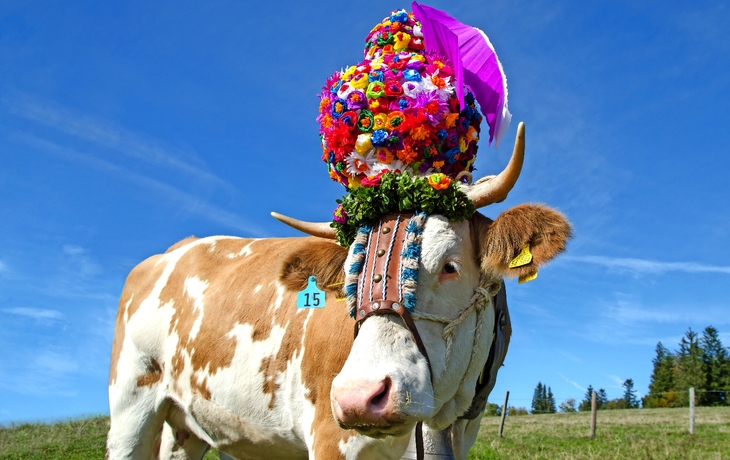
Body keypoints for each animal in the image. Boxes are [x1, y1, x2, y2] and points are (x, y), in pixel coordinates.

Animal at [107, 123, 572, 459]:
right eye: (351, 278)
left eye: (450, 266)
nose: (358, 398)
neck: (442, 422)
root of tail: (177, 248)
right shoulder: (330, 438)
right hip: (130, 406)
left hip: (188, 427)